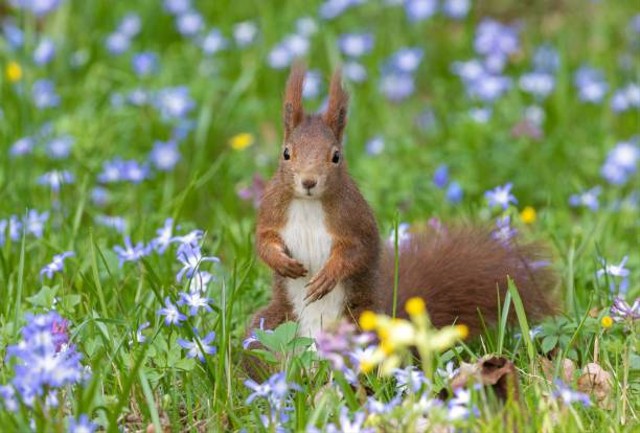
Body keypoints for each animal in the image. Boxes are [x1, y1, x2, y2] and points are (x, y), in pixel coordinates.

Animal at [248, 64, 556, 362]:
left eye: (336, 156)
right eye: (286, 153)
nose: (309, 181)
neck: (309, 204)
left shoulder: (354, 220)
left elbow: (357, 251)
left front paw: (328, 276)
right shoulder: (271, 213)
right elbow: (263, 241)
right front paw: (281, 262)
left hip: (363, 330)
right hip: (265, 330)